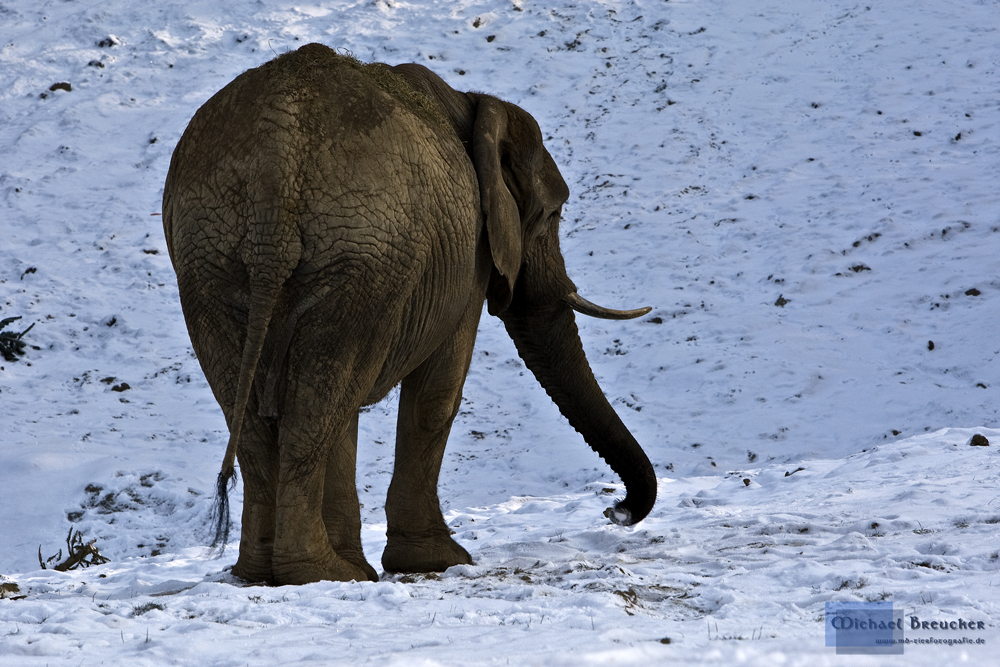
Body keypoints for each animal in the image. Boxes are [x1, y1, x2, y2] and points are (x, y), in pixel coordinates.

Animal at [161, 43, 660, 584]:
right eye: (553, 214)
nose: (615, 510)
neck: (474, 105)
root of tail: (279, 157)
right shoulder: (469, 256)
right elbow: (438, 393)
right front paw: (441, 562)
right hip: (363, 256)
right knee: (319, 402)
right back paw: (322, 574)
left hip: (212, 256)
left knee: (278, 407)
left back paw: (270, 573)